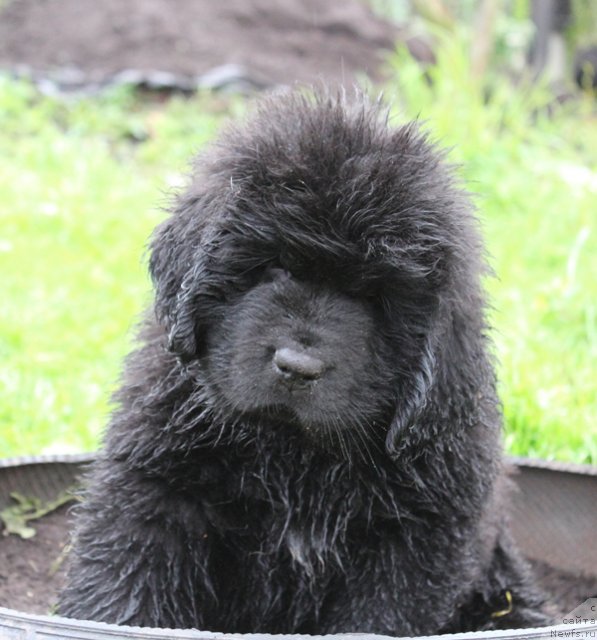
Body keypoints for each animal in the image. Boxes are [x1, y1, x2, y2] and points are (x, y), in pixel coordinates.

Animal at [57, 90, 548, 636]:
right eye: (276, 267)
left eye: (374, 298)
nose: (298, 367)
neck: (295, 454)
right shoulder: (156, 486)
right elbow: (125, 574)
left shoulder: (417, 538)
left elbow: (378, 617)